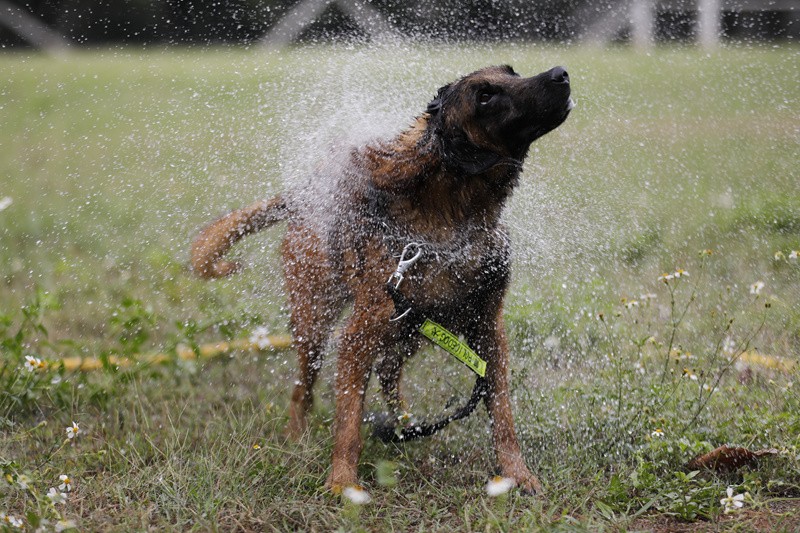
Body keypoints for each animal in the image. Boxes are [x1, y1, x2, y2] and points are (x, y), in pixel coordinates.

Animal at [191, 65, 572, 494]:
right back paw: (298, 437)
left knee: (390, 372)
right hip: (315, 323)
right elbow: (348, 423)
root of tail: (306, 195)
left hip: (409, 330)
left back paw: (404, 426)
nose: (560, 73)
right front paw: (342, 483)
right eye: (485, 96)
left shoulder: (488, 329)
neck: (452, 219)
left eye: (512, 72)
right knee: (303, 389)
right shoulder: (357, 336)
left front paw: (517, 473)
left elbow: (502, 413)